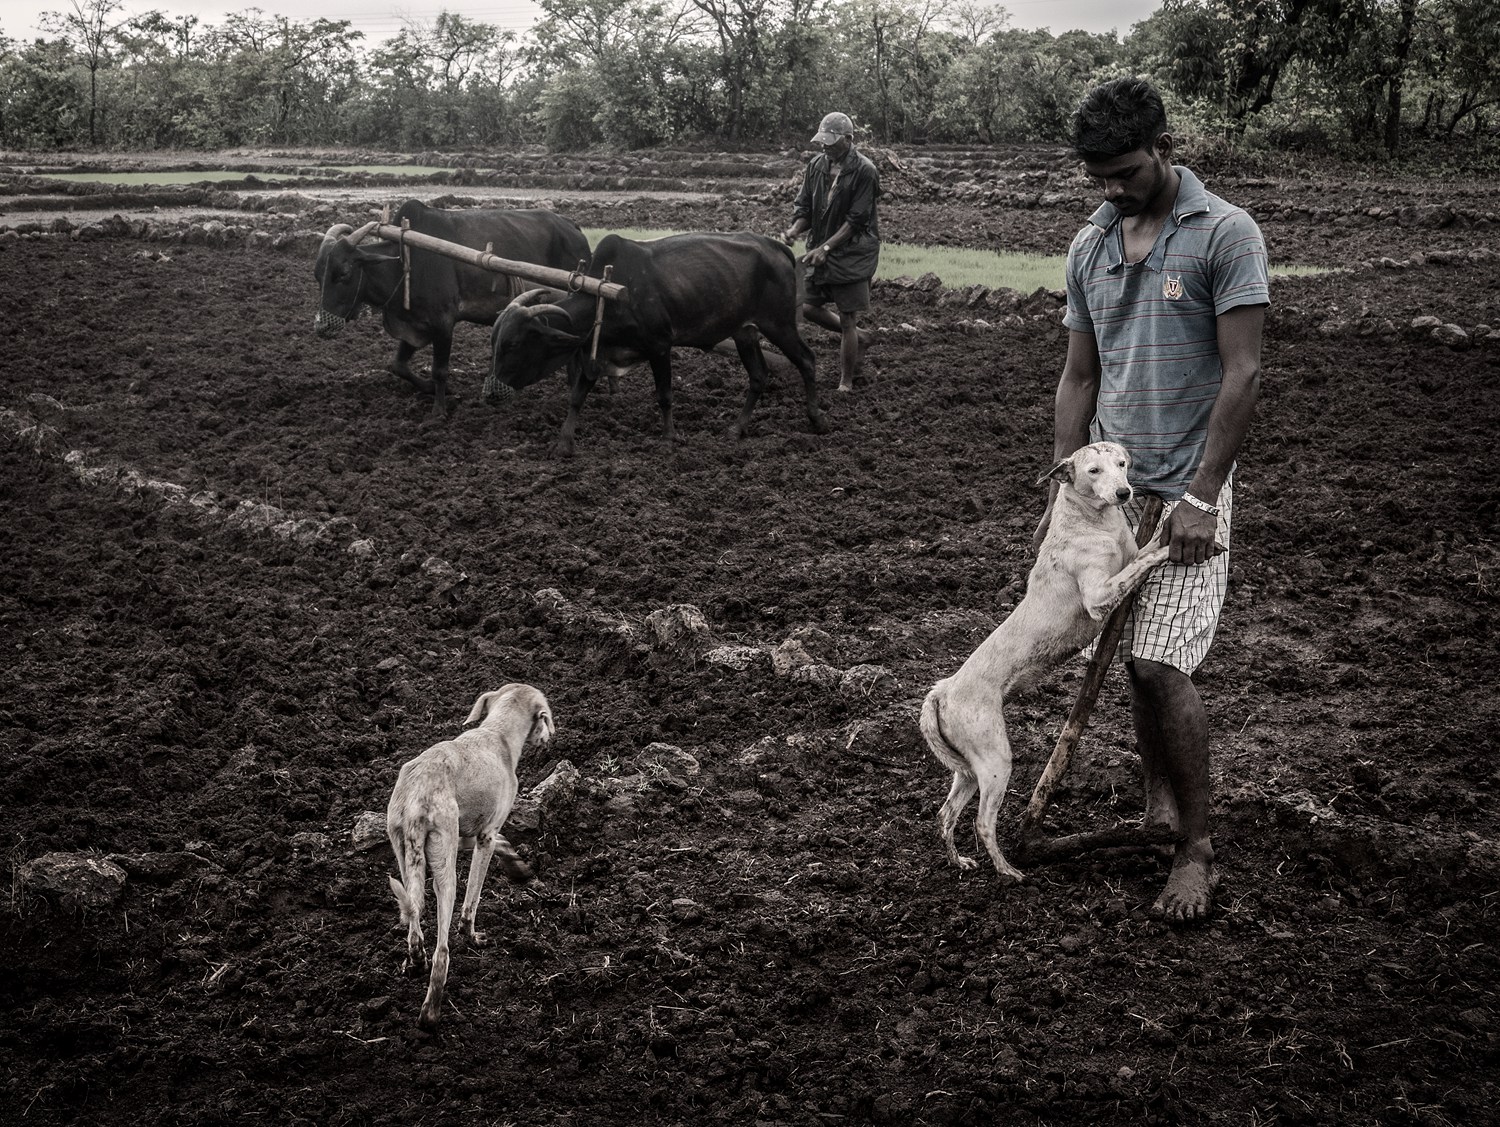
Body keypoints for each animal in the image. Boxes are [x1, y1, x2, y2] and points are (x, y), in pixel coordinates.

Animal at [384, 678, 555, 1032]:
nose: (549, 738)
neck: (497, 733)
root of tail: (417, 799)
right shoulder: (484, 836)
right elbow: (473, 898)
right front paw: (473, 936)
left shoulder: (470, 833)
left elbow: (503, 842)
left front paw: (520, 867)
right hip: (443, 863)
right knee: (443, 948)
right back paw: (430, 1015)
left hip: (406, 853)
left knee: (414, 921)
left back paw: (415, 961)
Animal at [912, 444, 1182, 888]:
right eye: (1093, 470)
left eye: (1122, 464)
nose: (1125, 493)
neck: (1093, 521)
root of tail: (942, 690)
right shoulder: (1098, 595)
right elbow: (1139, 567)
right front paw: (1168, 548)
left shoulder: (1126, 555)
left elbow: (1138, 557)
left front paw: (1165, 532)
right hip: (995, 762)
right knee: (982, 823)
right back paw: (1009, 871)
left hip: (968, 769)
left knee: (945, 814)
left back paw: (959, 862)